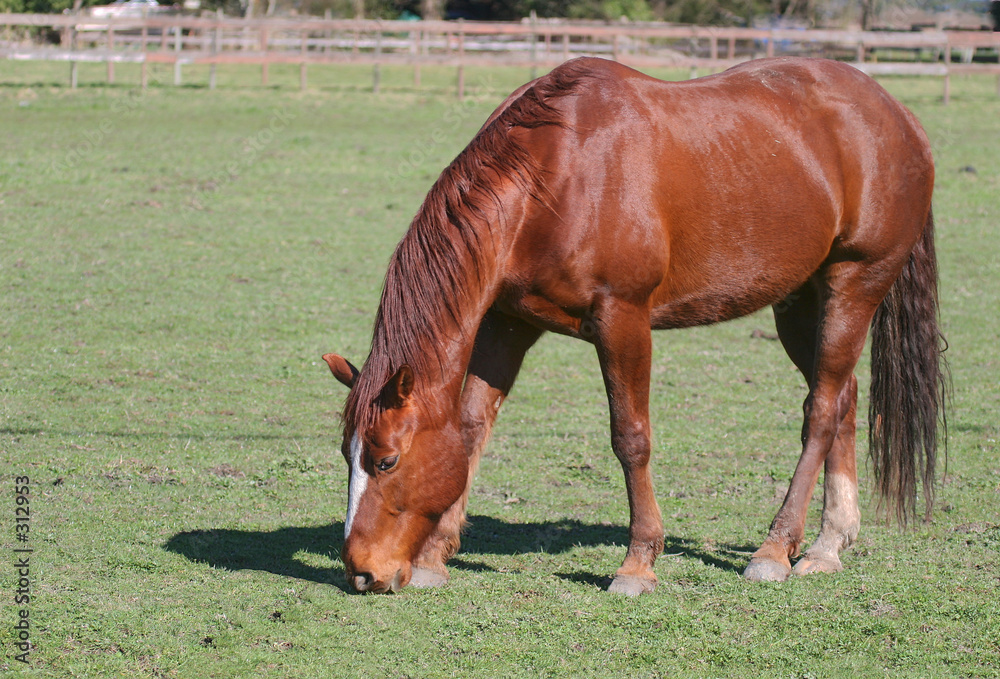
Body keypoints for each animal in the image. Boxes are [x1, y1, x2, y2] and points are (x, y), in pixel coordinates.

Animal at [322, 56, 946, 595]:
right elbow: (472, 428)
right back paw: (828, 544)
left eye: (385, 460)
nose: (361, 572)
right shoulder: (506, 323)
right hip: (799, 301)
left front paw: (638, 562)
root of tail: (900, 116)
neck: (554, 178)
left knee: (820, 411)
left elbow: (631, 438)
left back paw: (775, 550)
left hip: (854, 284)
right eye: (347, 456)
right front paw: (434, 556)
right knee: (842, 396)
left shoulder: (622, 318)